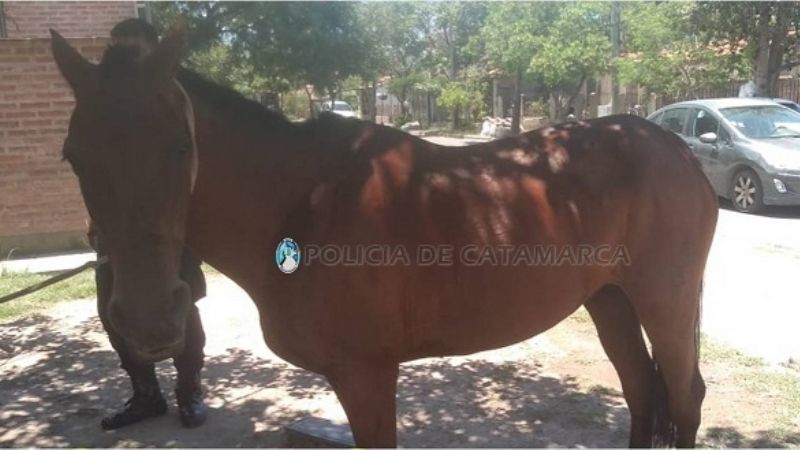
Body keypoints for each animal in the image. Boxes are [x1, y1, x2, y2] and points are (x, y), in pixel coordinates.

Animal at [51, 26, 717, 447]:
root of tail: (676, 148)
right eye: (73, 157)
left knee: (684, 398)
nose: (147, 318)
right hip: (610, 300)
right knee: (640, 391)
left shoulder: (367, 374)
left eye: (180, 147)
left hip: (665, 302)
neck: (299, 204)